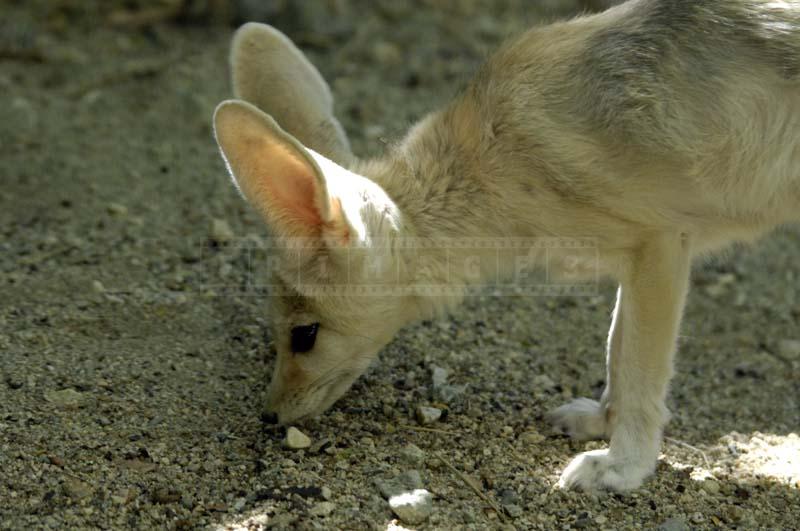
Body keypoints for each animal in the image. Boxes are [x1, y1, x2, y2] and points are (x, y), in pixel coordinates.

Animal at [211, 0, 800, 492]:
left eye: (305, 336)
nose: (269, 415)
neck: (494, 161)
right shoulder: (640, 260)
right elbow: (616, 349)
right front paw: (601, 423)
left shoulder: (661, 245)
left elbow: (637, 365)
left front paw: (624, 464)